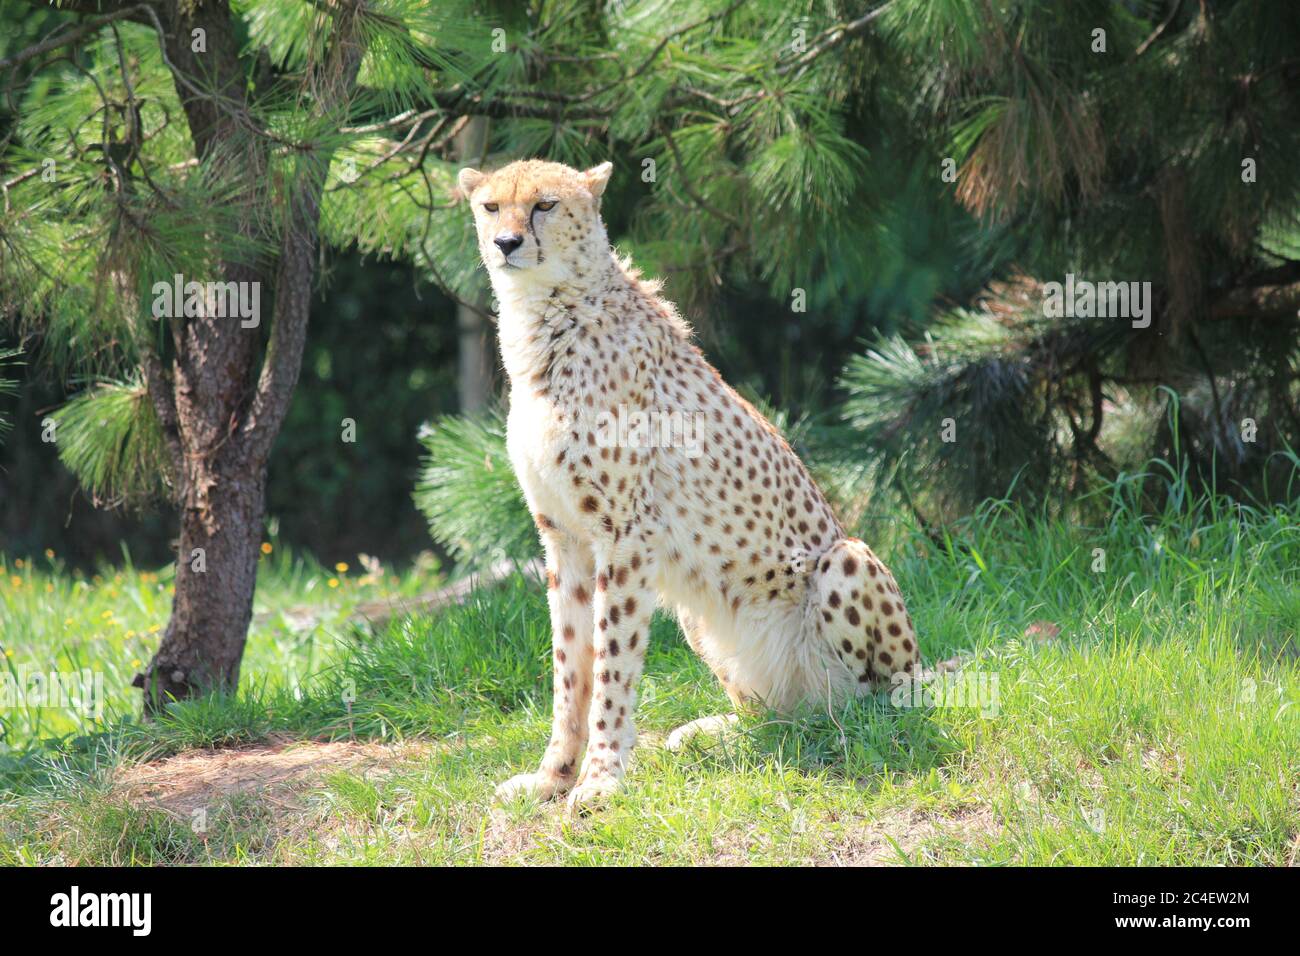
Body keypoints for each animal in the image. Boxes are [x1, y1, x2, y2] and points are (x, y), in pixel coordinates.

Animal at [460, 160, 925, 811]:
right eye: (491, 207)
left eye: (545, 204)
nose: (506, 243)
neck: (545, 319)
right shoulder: (564, 539)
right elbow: (570, 667)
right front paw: (553, 776)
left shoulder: (625, 537)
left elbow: (611, 663)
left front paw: (601, 779)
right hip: (702, 617)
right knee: (785, 717)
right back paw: (720, 734)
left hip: (847, 563)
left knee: (870, 708)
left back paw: (851, 726)